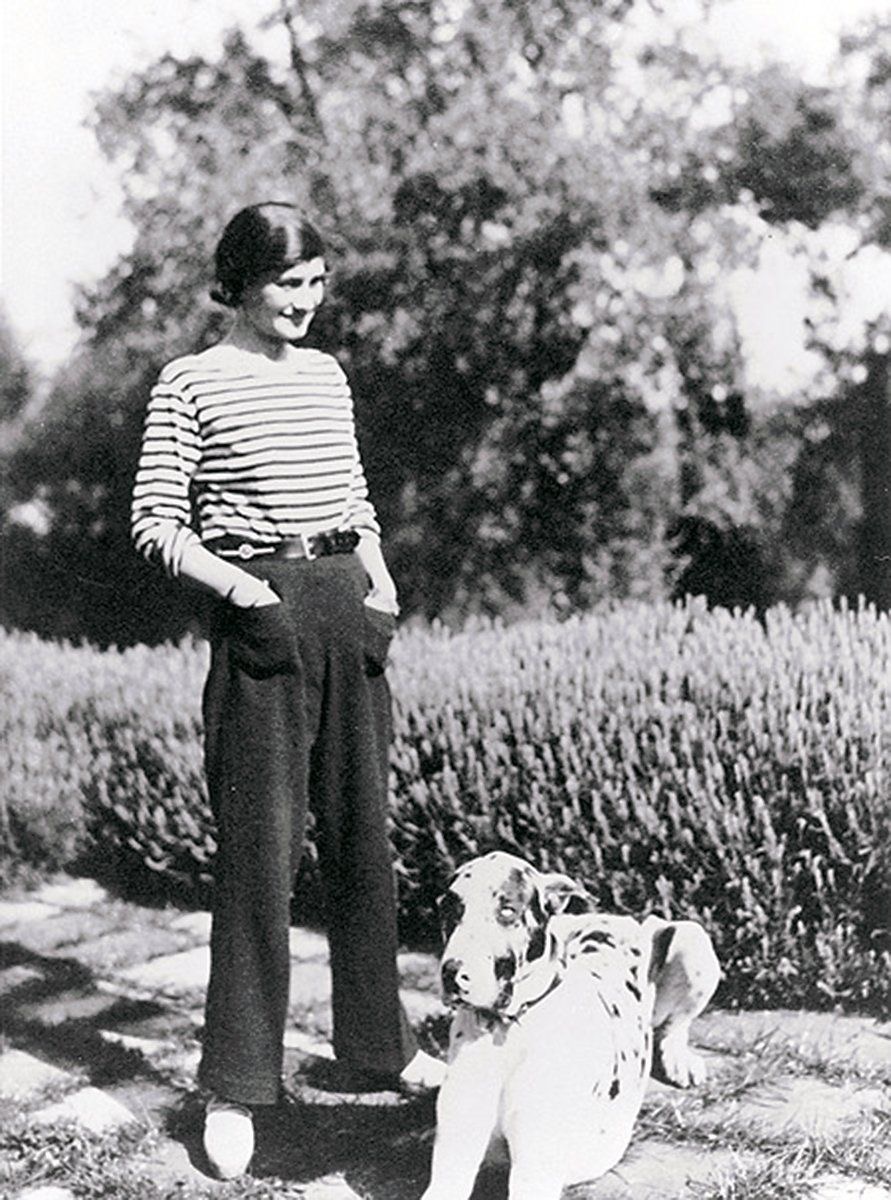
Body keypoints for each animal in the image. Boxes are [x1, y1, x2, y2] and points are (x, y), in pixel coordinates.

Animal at [422, 854, 720, 1200]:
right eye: (449, 909)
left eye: (507, 910)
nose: (452, 973)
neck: (508, 1031)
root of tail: (621, 918)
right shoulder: (453, 1159)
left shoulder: (534, 1174)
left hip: (692, 937)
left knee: (673, 1027)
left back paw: (679, 1061)